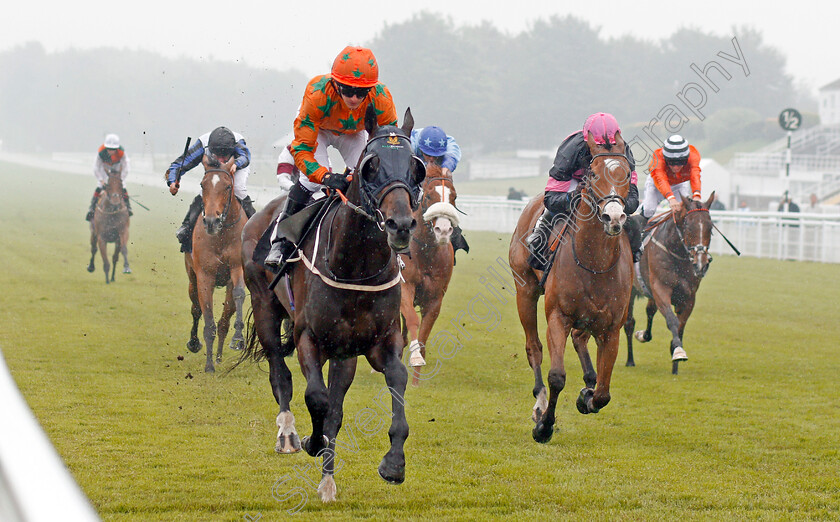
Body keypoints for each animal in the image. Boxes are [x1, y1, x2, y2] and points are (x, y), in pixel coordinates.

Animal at [185, 154, 248, 370]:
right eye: (202, 185)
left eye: (228, 186)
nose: (211, 221)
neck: (221, 235)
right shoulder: (205, 276)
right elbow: (207, 318)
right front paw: (209, 365)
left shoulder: (237, 268)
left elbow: (238, 295)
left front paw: (238, 339)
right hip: (191, 277)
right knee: (195, 308)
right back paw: (195, 343)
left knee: (224, 320)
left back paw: (219, 356)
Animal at [243, 107, 426, 502]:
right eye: (371, 165)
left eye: (415, 165)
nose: (401, 225)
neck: (356, 267)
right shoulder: (309, 338)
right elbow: (316, 398)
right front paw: (312, 440)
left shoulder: (377, 344)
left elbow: (394, 386)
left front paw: (393, 464)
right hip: (265, 307)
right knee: (280, 373)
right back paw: (289, 434)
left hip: (344, 353)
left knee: (335, 405)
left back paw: (327, 481)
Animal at [400, 161, 460, 382]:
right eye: (428, 197)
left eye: (453, 197)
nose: (443, 230)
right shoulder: (405, 285)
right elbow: (411, 318)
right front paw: (416, 356)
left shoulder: (435, 296)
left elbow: (425, 328)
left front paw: (418, 366)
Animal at [508, 132, 632, 440]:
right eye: (593, 173)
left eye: (626, 173)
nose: (614, 217)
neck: (595, 261)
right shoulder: (558, 316)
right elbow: (557, 377)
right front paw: (544, 426)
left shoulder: (611, 328)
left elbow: (603, 393)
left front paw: (586, 396)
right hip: (525, 290)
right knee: (534, 347)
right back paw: (539, 402)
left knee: (579, 338)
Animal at [624, 193, 716, 372]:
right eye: (688, 226)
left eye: (710, 228)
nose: (701, 264)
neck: (676, 253)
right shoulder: (661, 289)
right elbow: (672, 320)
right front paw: (678, 351)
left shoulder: (688, 297)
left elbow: (680, 326)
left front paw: (675, 362)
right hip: (630, 291)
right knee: (629, 323)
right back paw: (630, 360)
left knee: (649, 310)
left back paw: (644, 335)